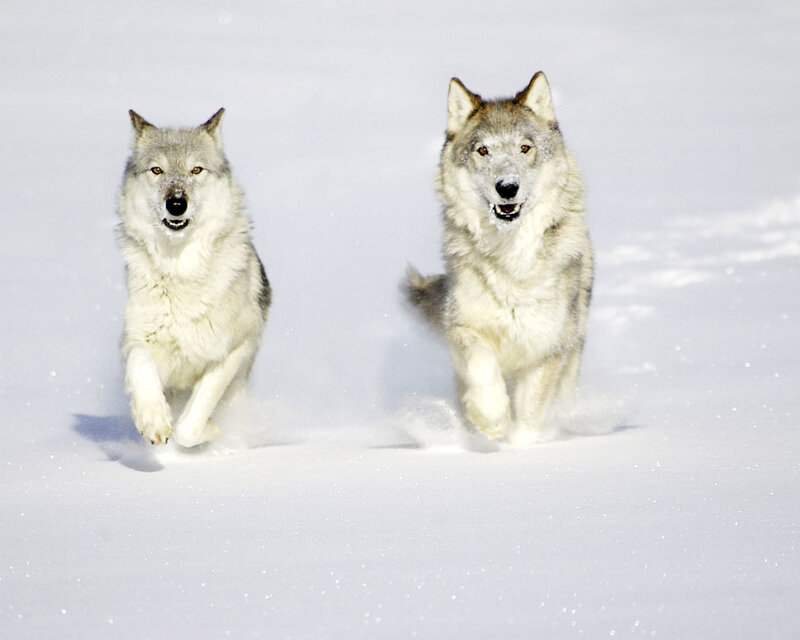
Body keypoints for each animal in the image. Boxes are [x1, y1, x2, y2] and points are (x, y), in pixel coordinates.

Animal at [117, 108, 270, 447]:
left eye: (196, 170)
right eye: (157, 170)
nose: (176, 203)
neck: (180, 272)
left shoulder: (233, 350)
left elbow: (190, 425)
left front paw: (212, 429)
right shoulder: (136, 341)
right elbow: (140, 364)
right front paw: (154, 420)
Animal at [406, 73, 593, 443]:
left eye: (525, 148)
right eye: (483, 150)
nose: (507, 187)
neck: (511, 261)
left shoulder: (545, 349)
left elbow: (530, 416)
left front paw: (520, 445)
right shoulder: (465, 328)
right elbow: (483, 371)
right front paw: (491, 419)